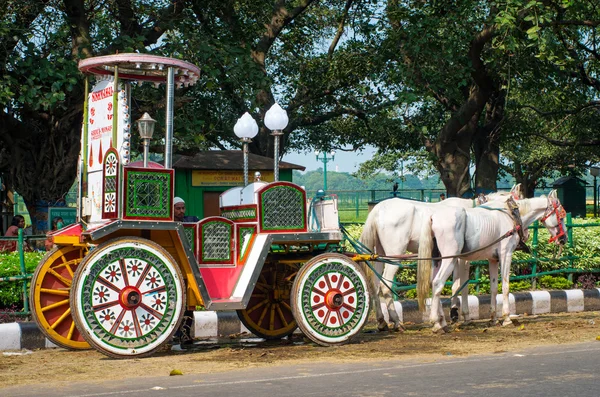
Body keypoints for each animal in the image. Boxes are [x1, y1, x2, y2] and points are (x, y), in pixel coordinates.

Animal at [358, 186, 524, 332]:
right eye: (517, 206)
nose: (523, 236)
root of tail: (378, 210)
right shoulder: (462, 258)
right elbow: (460, 285)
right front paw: (457, 315)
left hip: (379, 255)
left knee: (374, 285)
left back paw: (382, 322)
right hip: (396, 254)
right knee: (386, 286)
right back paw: (398, 322)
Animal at [418, 189, 568, 332]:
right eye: (561, 217)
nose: (564, 239)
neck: (510, 215)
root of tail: (433, 217)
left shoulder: (493, 259)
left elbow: (494, 287)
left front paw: (493, 318)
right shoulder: (505, 254)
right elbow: (505, 286)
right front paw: (507, 318)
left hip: (437, 259)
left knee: (433, 283)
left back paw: (442, 322)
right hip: (450, 258)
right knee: (438, 283)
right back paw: (436, 323)